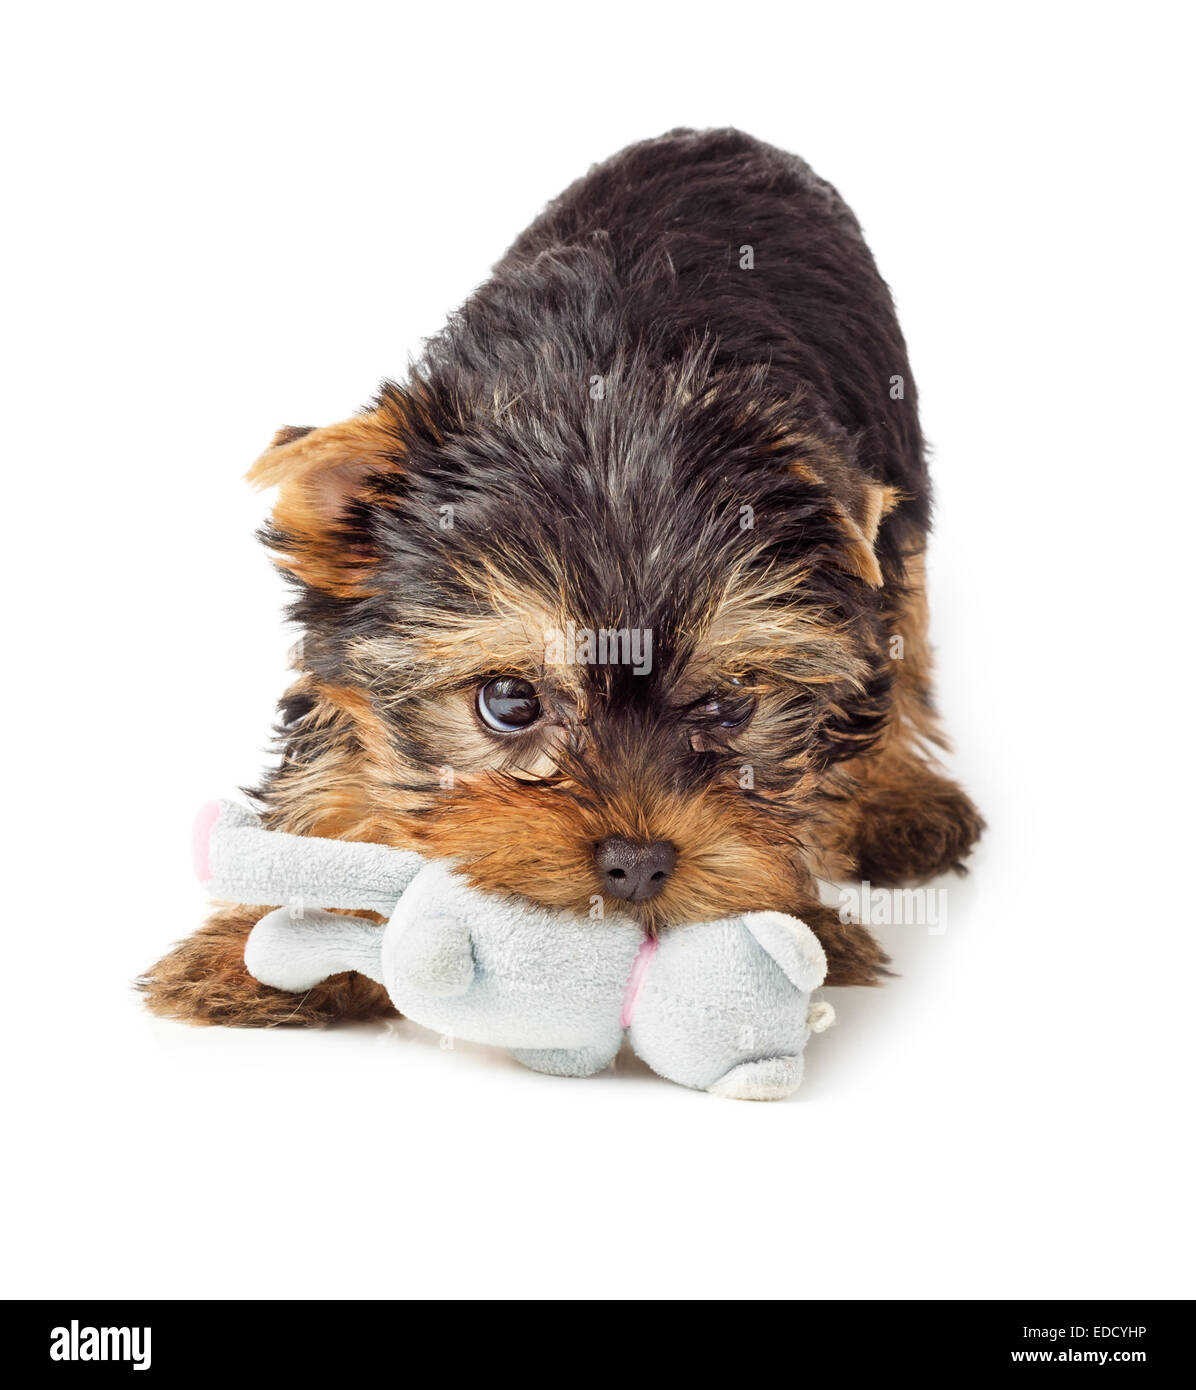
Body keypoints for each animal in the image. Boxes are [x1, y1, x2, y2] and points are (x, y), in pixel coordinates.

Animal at [142, 127, 979, 1023]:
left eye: (728, 705)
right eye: (509, 702)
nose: (637, 863)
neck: (608, 392)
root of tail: (722, 135)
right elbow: (338, 745)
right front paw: (257, 942)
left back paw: (899, 799)